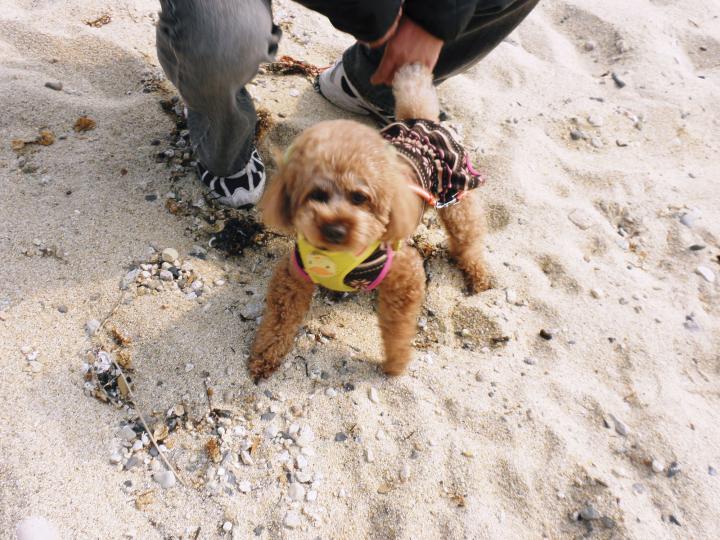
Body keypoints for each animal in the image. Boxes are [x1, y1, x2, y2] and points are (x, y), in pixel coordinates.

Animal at [248, 65, 490, 382]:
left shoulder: (404, 273)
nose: (335, 229)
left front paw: (395, 364)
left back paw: (478, 274)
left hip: (456, 197)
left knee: (467, 235)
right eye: (317, 195)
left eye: (360, 197)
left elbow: (398, 328)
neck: (338, 256)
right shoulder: (294, 274)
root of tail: (421, 120)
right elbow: (280, 318)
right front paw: (264, 356)